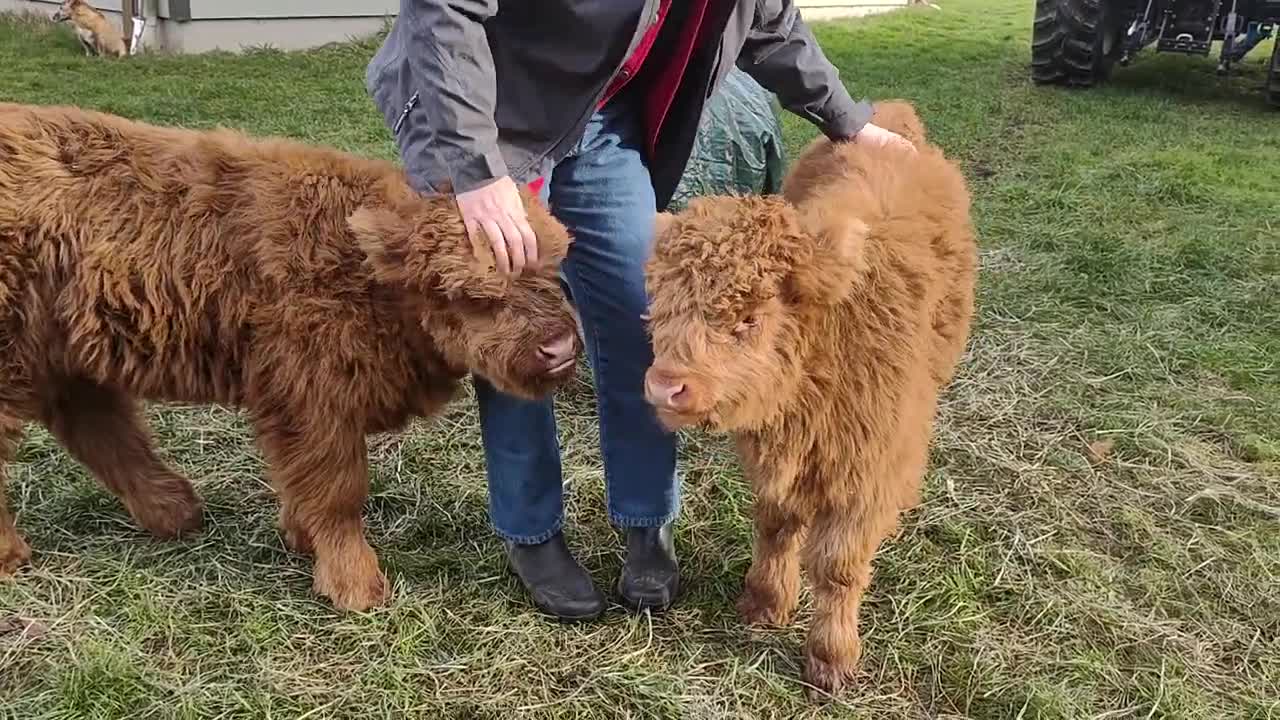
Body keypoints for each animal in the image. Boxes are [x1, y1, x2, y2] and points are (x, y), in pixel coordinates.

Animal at [0, 99, 581, 604]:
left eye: (552, 269)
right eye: (472, 295)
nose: (558, 348)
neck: (367, 277)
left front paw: (301, 539)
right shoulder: (312, 399)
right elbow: (338, 491)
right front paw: (356, 586)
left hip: (64, 354)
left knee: (99, 427)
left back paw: (176, 513)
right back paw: (15, 556)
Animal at [645, 102, 972, 696]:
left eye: (749, 317)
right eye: (660, 304)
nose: (666, 385)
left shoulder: (865, 473)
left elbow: (839, 568)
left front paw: (831, 656)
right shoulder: (775, 461)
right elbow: (776, 527)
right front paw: (765, 601)